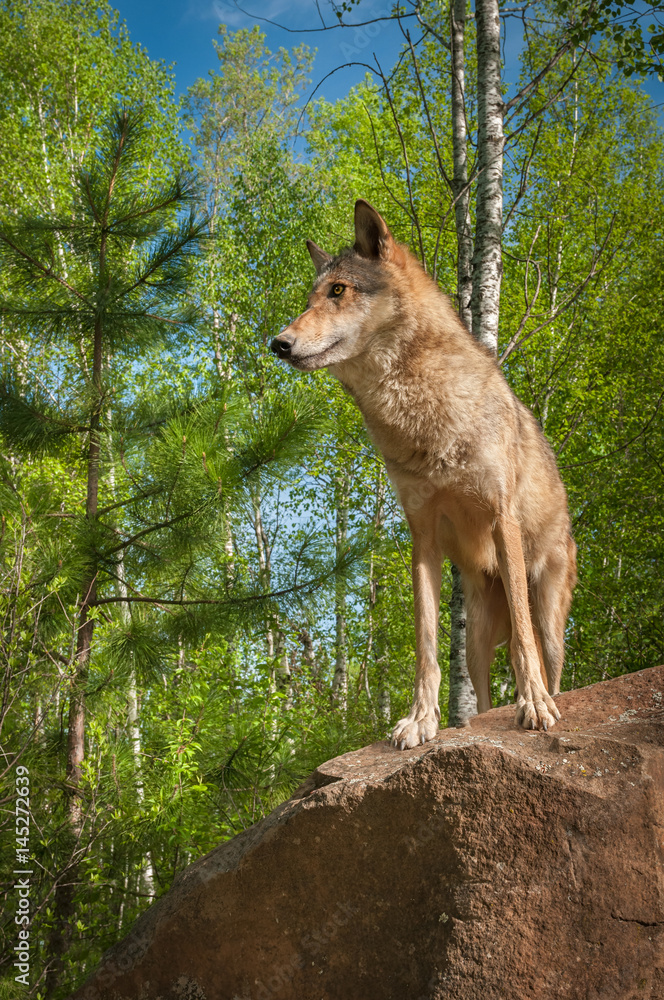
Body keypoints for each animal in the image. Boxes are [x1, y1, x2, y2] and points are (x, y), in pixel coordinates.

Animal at [271, 200, 577, 750]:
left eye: (338, 291)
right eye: (310, 298)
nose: (278, 343)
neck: (423, 419)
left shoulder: (501, 517)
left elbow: (522, 644)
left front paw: (535, 707)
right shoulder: (423, 537)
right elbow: (426, 645)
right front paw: (421, 720)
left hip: (548, 617)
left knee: (541, 653)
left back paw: (542, 698)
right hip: (475, 640)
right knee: (481, 691)